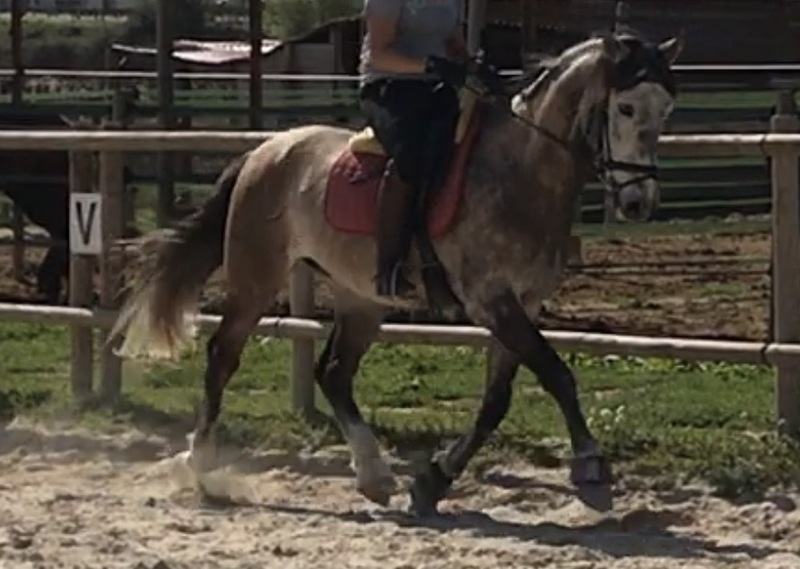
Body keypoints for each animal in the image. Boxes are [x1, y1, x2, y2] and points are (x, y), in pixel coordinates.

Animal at [110, 31, 684, 516]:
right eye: (626, 107)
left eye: (667, 110)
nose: (639, 202)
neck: (520, 173)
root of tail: (262, 151)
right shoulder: (490, 299)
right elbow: (556, 374)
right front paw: (590, 465)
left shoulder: (521, 302)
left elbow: (496, 401)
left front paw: (434, 481)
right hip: (256, 280)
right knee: (222, 358)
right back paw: (201, 464)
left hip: (361, 298)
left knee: (333, 373)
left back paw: (374, 476)